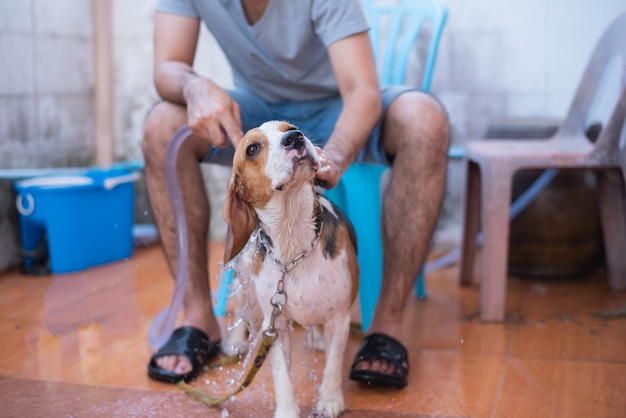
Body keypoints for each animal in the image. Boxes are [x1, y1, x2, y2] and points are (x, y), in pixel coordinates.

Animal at [224, 121, 358, 418]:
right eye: (252, 149)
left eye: (291, 127)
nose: (295, 138)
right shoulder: (275, 326)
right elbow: (281, 376)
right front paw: (287, 410)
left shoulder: (339, 317)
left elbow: (333, 364)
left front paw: (330, 399)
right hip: (244, 286)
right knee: (241, 311)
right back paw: (236, 341)